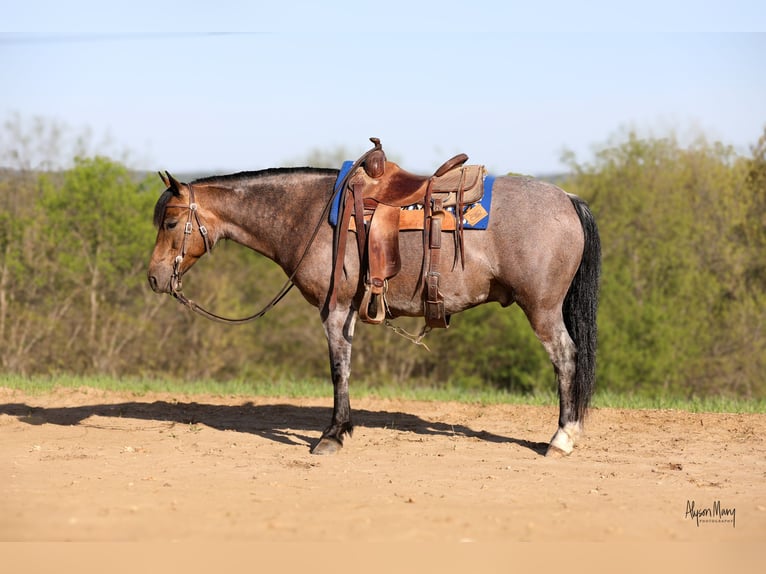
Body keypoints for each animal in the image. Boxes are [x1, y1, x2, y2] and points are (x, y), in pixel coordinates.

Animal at [147, 150, 600, 457]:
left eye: (170, 222)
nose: (153, 277)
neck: (310, 214)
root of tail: (568, 198)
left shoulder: (334, 309)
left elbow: (338, 369)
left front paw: (332, 435)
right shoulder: (348, 310)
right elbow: (346, 367)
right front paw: (343, 429)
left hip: (542, 310)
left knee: (565, 358)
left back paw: (562, 437)